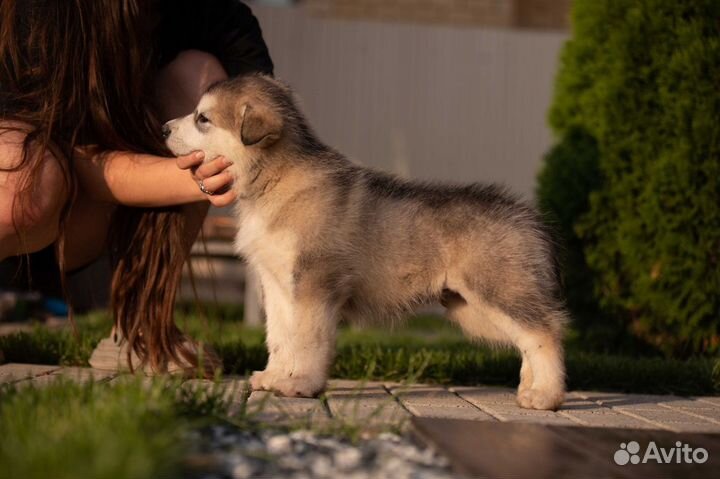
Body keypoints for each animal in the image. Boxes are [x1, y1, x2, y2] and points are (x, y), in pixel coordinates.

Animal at [165, 75, 568, 412]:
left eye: (203, 119)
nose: (164, 127)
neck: (275, 182)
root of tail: (527, 216)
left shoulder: (314, 284)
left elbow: (306, 339)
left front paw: (300, 384)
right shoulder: (278, 284)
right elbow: (280, 336)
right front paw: (275, 376)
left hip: (496, 291)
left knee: (545, 332)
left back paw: (546, 396)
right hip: (474, 308)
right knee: (528, 339)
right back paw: (529, 388)